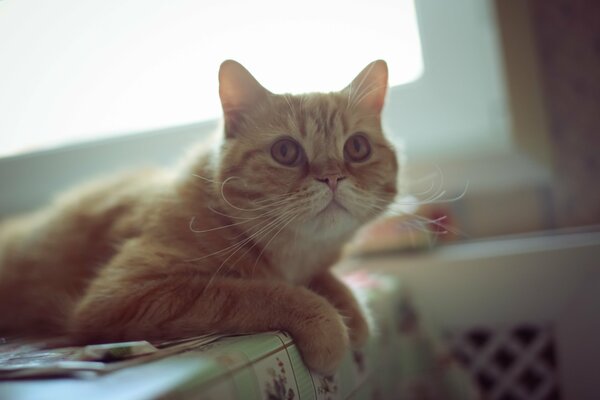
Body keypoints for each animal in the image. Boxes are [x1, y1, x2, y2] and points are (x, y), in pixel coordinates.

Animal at [0, 60, 398, 376]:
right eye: (285, 151)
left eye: (357, 147)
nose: (332, 177)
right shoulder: (126, 295)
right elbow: (264, 292)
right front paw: (329, 325)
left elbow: (328, 281)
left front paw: (354, 313)